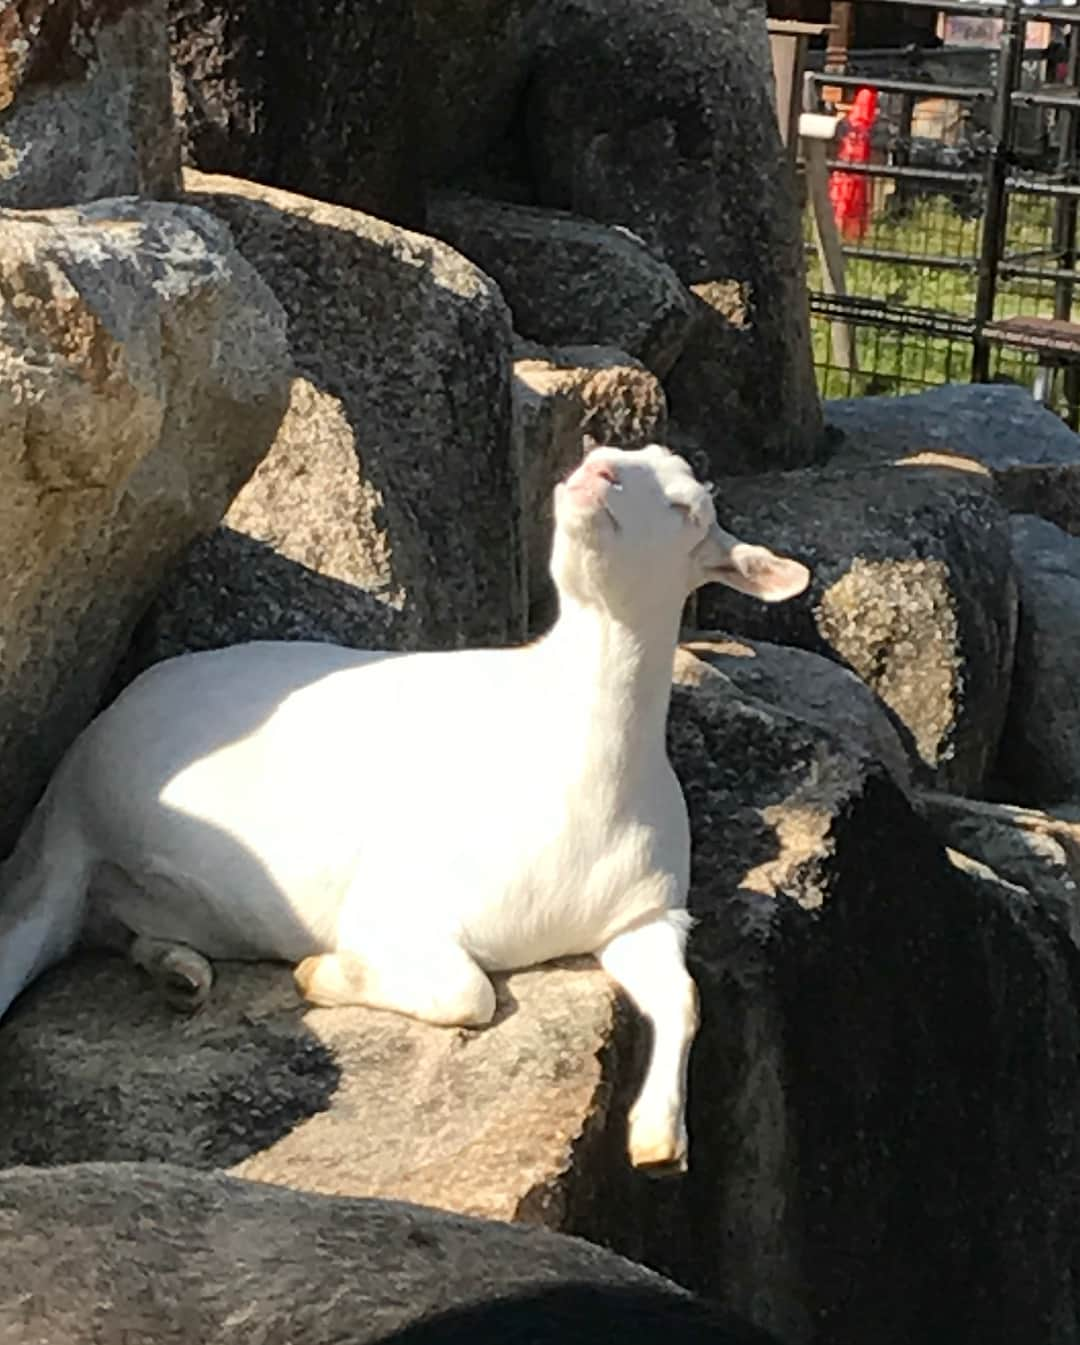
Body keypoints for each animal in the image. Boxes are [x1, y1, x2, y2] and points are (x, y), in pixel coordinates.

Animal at [0, 446, 812, 1172]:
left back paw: (177, 971)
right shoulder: (395, 904)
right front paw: (320, 974)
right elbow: (469, 993)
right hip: (70, 840)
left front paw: (658, 1140)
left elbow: (682, 996)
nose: (596, 468)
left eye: (686, 508)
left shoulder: (643, 912)